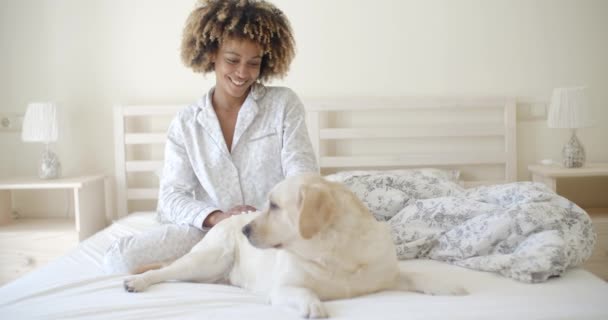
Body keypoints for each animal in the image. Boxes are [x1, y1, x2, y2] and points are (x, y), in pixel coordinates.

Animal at [122, 174, 466, 318]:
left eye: (274, 206)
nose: (245, 229)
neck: (336, 252)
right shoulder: (283, 287)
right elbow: (303, 291)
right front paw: (313, 306)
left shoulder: (386, 272)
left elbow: (414, 275)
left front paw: (446, 286)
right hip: (207, 260)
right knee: (164, 271)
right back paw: (136, 281)